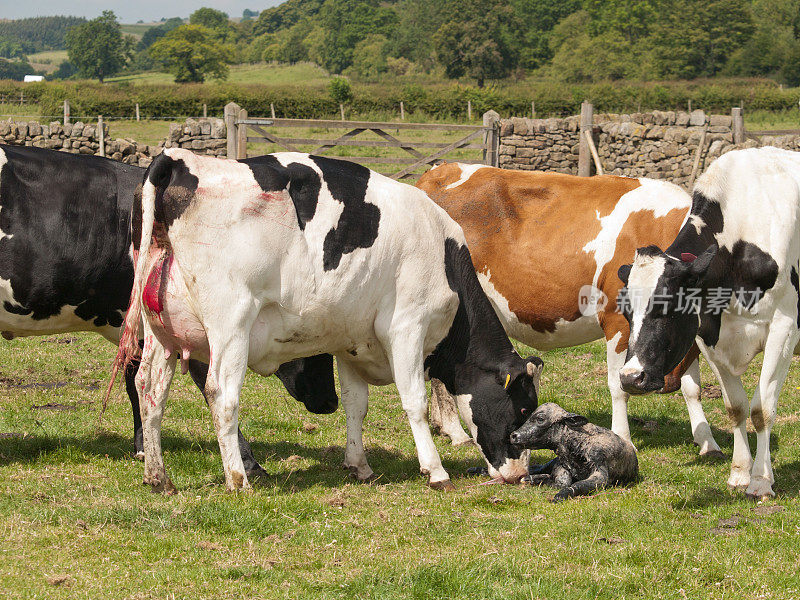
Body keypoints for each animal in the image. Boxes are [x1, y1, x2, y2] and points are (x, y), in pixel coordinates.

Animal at [0, 144, 338, 474]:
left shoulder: (138, 330)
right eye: (316, 341)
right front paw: (247, 462)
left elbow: (135, 383)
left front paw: (141, 447)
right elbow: (205, 385)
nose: (332, 403)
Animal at [120, 149, 544, 492]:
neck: (444, 255)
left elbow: (357, 405)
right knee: (221, 394)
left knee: (149, 388)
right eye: (523, 409)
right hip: (231, 324)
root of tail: (181, 159)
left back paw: (159, 478)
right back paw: (238, 480)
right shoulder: (407, 327)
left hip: (161, 332)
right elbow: (415, 402)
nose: (521, 475)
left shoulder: (351, 341)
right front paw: (436, 471)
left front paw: (359, 466)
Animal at [416, 162, 720, 458]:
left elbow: (692, 389)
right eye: (630, 309)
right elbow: (618, 386)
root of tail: (438, 170)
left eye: (669, 308)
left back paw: (443, 427)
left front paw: (707, 442)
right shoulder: (616, 323)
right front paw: (623, 439)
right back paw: (455, 432)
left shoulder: (684, 335)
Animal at [620, 148, 800, 500]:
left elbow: (762, 409)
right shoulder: (708, 334)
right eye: (625, 312)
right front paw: (741, 473)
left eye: (667, 306)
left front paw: (761, 481)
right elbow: (737, 407)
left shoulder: (784, 326)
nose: (630, 378)